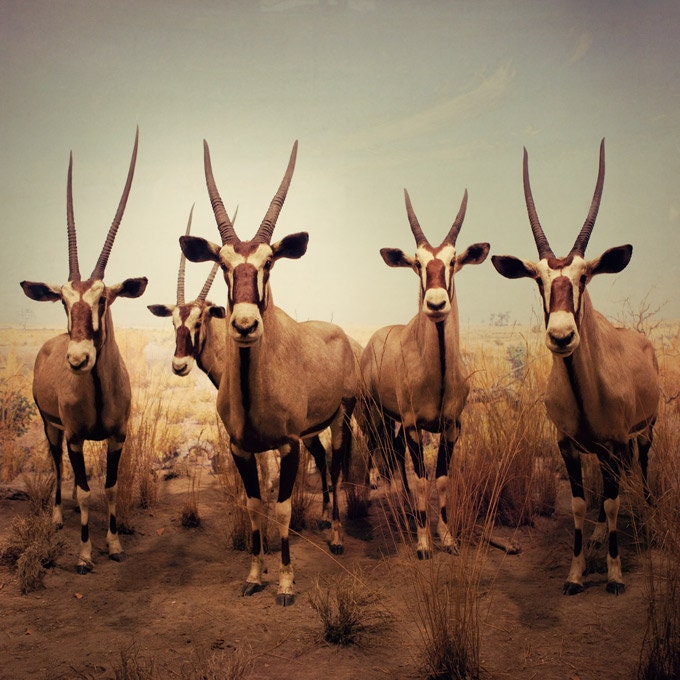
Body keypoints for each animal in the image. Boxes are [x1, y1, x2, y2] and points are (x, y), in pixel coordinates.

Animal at [20, 130, 147, 574]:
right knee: (59, 468)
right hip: (50, 427)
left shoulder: (118, 437)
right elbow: (85, 490)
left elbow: (108, 488)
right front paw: (85, 554)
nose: (78, 360)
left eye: (103, 299)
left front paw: (114, 545)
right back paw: (59, 517)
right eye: (62, 300)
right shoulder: (75, 438)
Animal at [148, 205, 338, 528]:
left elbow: (264, 462)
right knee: (322, 454)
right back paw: (325, 511)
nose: (179, 364)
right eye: (174, 323)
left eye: (198, 322)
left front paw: (265, 488)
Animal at [180, 139, 357, 605]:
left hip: (341, 418)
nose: (244, 325)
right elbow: (256, 506)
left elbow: (282, 507)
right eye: (224, 264)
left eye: (269, 263)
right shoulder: (242, 449)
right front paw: (255, 575)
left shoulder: (288, 445)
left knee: (336, 465)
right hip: (313, 430)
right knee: (324, 463)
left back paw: (336, 536)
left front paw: (286, 583)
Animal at [360, 188, 489, 559]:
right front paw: (423, 542)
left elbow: (442, 479)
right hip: (375, 411)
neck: (439, 375)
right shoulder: (415, 425)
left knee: (394, 451)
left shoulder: (451, 425)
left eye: (453, 261)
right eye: (417, 263)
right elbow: (421, 480)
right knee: (377, 446)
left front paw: (447, 538)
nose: (435, 304)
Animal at [491, 139, 659, 594]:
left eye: (584, 277)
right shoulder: (568, 446)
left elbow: (615, 503)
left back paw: (648, 512)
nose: (562, 336)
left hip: (644, 433)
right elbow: (583, 504)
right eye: (538, 280)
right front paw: (576, 573)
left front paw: (615, 575)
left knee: (641, 466)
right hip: (604, 450)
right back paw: (599, 536)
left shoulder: (617, 441)